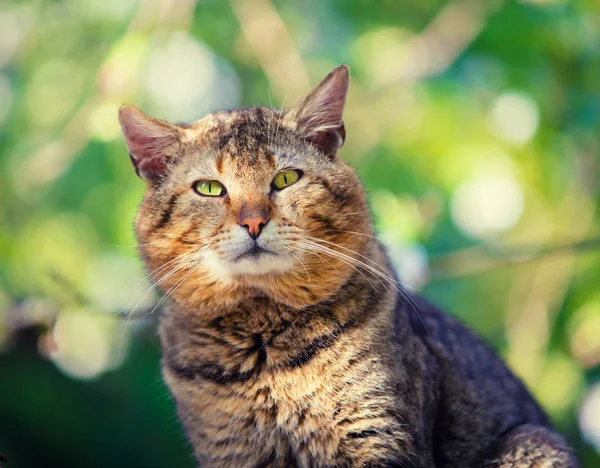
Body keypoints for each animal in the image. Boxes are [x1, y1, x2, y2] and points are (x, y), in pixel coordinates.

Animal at [117, 64, 576, 466]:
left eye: (286, 179)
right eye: (210, 188)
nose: (253, 222)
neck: (264, 342)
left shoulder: (377, 435)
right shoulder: (233, 450)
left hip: (533, 441)